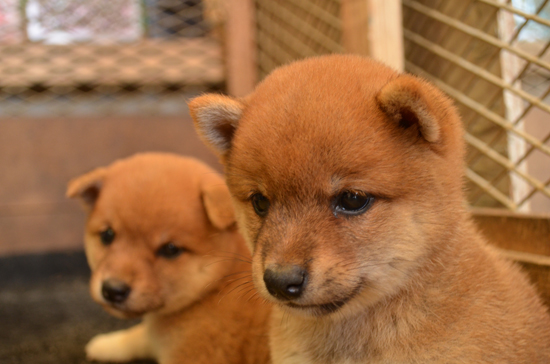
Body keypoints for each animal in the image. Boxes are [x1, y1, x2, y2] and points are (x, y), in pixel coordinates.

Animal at [67, 153, 272, 364]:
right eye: (107, 235)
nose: (113, 290)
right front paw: (107, 344)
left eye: (170, 249)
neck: (215, 288)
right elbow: (138, 336)